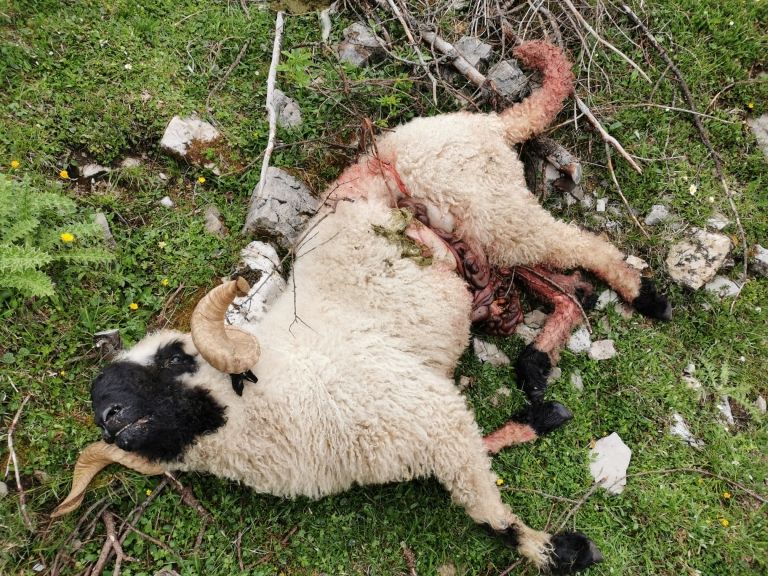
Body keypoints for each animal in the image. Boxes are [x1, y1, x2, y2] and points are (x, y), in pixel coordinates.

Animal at [55, 41, 670, 573]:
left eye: (174, 357)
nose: (107, 412)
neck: (278, 386)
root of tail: (484, 123)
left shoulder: (427, 410)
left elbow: (486, 512)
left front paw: (559, 549)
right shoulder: (427, 429)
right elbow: (480, 456)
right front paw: (539, 418)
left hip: (497, 213)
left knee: (587, 248)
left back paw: (650, 298)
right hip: (487, 249)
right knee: (568, 287)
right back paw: (538, 364)